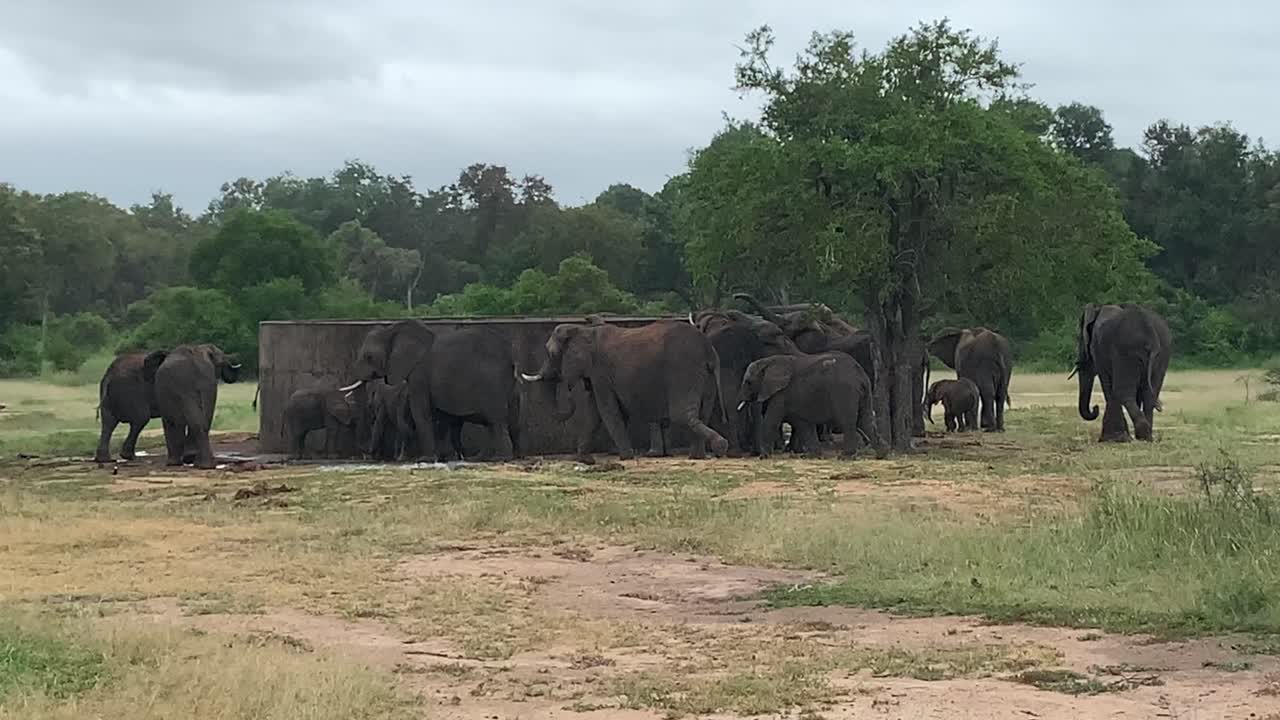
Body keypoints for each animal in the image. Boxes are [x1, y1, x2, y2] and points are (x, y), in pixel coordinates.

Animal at [341, 322, 520, 462]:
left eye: (369, 357)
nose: (364, 454)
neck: (392, 330)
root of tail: (511, 356)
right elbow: (439, 415)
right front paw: (443, 457)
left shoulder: (419, 373)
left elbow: (420, 411)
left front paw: (425, 459)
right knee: (496, 421)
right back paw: (482, 458)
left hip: (492, 381)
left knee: (495, 420)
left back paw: (500, 458)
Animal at [519, 319, 729, 464]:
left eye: (551, 354)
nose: (569, 388)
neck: (583, 329)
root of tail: (709, 349)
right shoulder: (598, 375)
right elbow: (594, 413)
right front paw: (585, 460)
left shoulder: (600, 372)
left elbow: (607, 411)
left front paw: (626, 458)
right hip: (704, 374)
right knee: (703, 412)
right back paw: (698, 457)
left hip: (683, 369)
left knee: (681, 414)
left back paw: (720, 446)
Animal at [738, 353, 878, 459]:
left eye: (748, 382)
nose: (756, 454)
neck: (768, 361)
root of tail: (859, 374)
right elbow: (803, 424)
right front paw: (812, 456)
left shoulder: (781, 394)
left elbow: (771, 421)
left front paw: (763, 457)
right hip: (864, 390)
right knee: (865, 420)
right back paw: (881, 454)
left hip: (844, 391)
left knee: (848, 422)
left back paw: (845, 457)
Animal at [1071, 303, 1171, 442]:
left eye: (1080, 339)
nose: (1095, 408)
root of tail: (1149, 332)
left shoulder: (1099, 350)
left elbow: (1107, 384)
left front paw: (1112, 439)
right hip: (1162, 353)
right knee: (1150, 393)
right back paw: (1146, 437)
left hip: (1126, 353)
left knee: (1123, 392)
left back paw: (1142, 434)